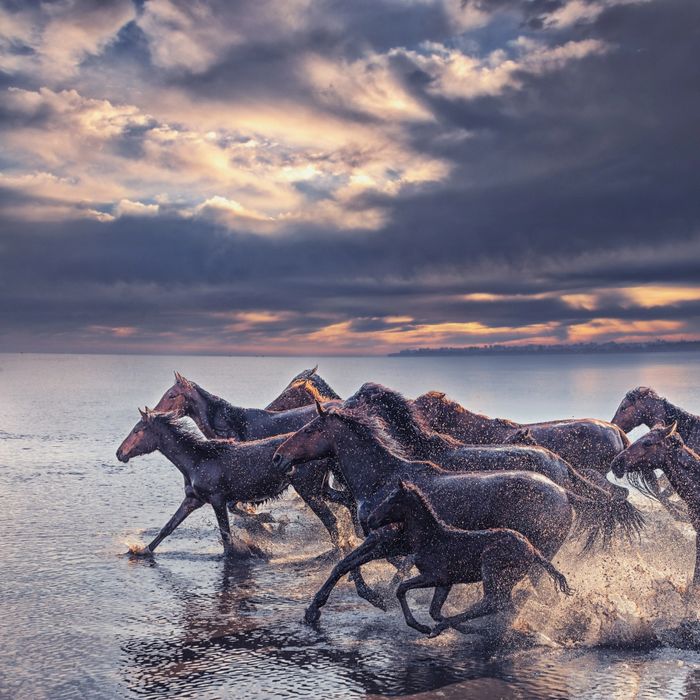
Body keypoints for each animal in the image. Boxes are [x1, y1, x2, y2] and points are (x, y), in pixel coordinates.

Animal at [116, 408, 354, 555]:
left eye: (137, 430)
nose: (120, 453)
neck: (196, 460)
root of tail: (328, 451)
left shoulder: (217, 499)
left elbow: (227, 538)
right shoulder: (193, 500)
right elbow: (168, 527)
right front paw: (141, 550)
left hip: (308, 489)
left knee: (330, 519)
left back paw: (337, 550)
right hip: (322, 488)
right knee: (349, 502)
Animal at [367, 480, 572, 635]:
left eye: (392, 500)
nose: (370, 520)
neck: (430, 538)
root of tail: (532, 550)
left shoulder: (434, 576)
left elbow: (402, 588)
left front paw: (424, 627)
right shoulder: (445, 582)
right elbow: (434, 610)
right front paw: (442, 627)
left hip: (491, 568)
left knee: (491, 603)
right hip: (506, 581)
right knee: (503, 605)